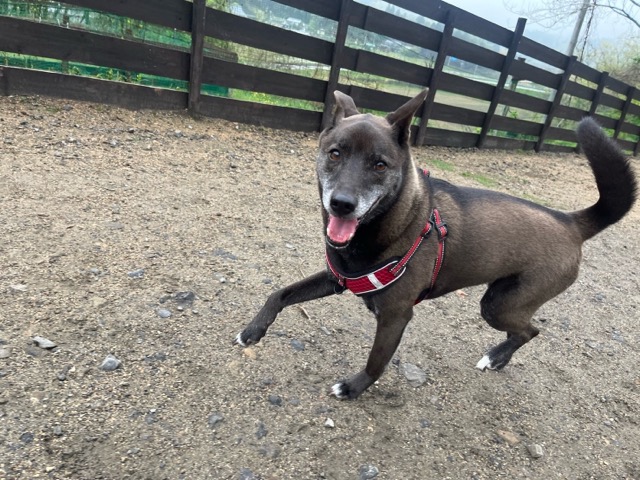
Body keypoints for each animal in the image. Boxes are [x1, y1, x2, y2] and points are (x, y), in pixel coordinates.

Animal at [235, 90, 637, 399]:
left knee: (530, 330)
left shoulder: (396, 316)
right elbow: (279, 293)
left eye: (380, 165)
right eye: (335, 153)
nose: (342, 204)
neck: (388, 225)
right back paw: (500, 356)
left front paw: (353, 388)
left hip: (500, 304)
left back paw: (496, 357)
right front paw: (254, 330)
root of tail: (572, 222)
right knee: (525, 330)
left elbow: (376, 362)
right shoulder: (339, 278)